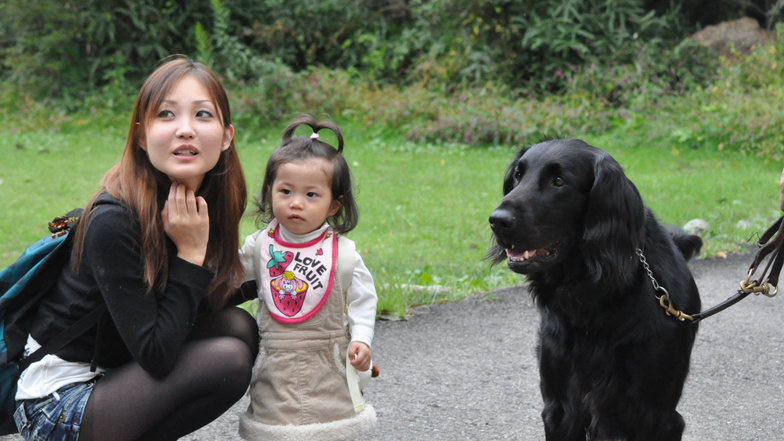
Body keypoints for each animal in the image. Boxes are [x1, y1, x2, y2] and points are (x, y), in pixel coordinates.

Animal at [486, 139, 700, 440]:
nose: (497, 220)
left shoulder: (659, 415)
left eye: (559, 181)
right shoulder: (560, 407)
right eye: (518, 175)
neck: (592, 296)